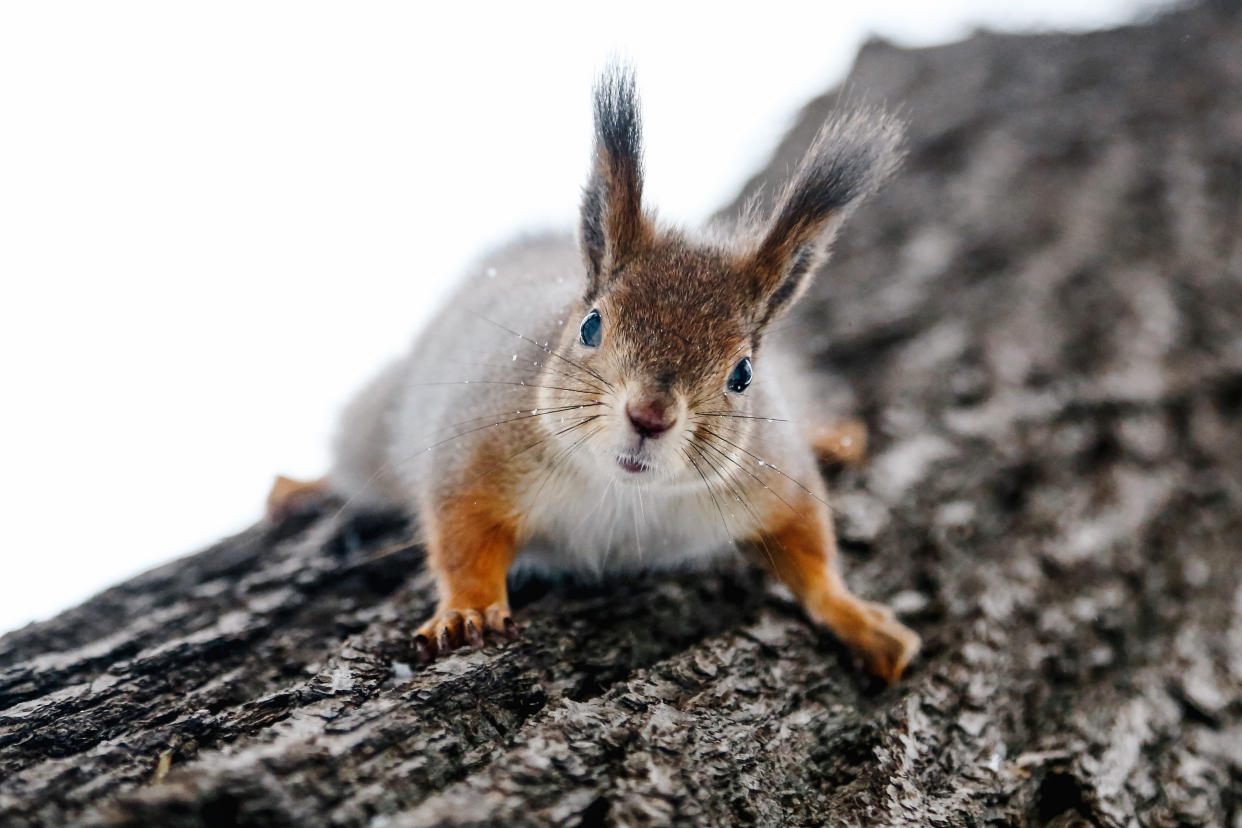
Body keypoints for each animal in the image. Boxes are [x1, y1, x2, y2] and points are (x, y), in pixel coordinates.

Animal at [264, 66, 924, 685]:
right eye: (590, 327)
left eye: (742, 373)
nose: (650, 417)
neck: (624, 494)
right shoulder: (477, 448)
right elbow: (462, 535)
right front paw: (468, 610)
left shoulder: (771, 475)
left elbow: (810, 548)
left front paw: (855, 616)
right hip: (379, 422)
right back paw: (303, 486)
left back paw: (835, 436)